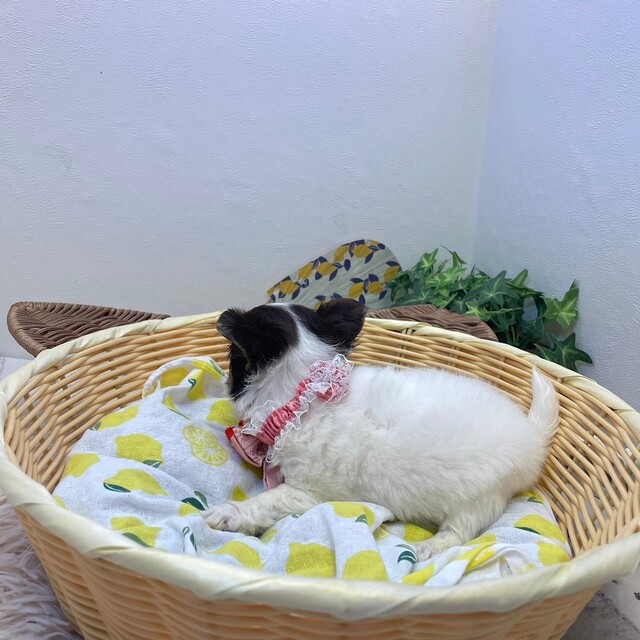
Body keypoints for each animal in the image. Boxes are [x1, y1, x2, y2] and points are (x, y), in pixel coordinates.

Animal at [204, 299, 559, 560]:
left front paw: (229, 514)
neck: (303, 393)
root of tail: (532, 438)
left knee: (460, 532)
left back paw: (428, 547)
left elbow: (268, 501)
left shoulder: (309, 491)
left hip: (479, 498)